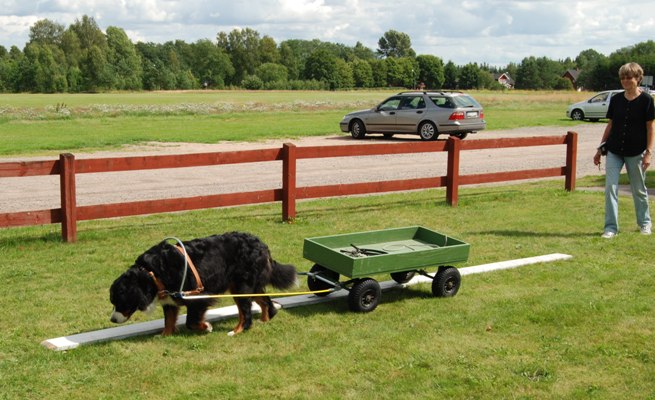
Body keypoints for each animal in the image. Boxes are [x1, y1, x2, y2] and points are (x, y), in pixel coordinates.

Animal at [109, 231, 297, 336]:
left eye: (120, 302)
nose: (112, 319)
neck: (152, 272)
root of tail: (261, 244)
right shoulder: (170, 299)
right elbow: (169, 319)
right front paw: (164, 334)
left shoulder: (197, 296)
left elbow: (191, 321)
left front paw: (206, 327)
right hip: (248, 285)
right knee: (265, 301)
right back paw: (265, 319)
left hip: (241, 286)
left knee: (246, 312)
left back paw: (237, 331)